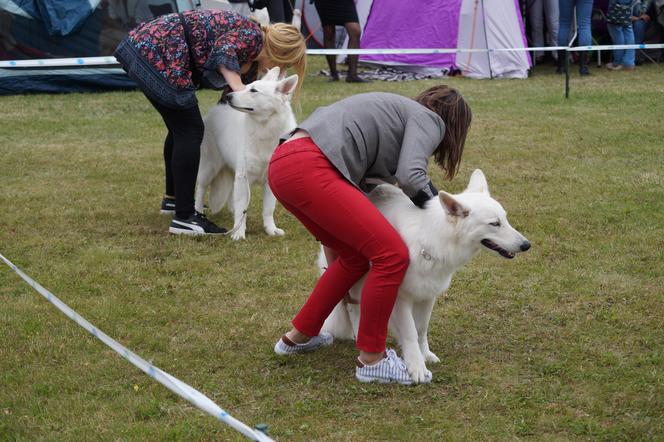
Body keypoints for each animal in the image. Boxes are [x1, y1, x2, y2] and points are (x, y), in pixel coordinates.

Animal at [195, 66, 298, 240]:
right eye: (246, 86)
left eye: (253, 90)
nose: (228, 96)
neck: (264, 130)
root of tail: (215, 110)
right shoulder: (243, 178)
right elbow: (242, 207)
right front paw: (238, 232)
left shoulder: (266, 181)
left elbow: (268, 209)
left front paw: (270, 230)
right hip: (209, 169)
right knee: (200, 190)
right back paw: (198, 213)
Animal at [320, 169, 532, 384]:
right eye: (494, 224)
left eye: (505, 219)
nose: (526, 245)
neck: (431, 241)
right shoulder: (401, 298)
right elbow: (410, 332)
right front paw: (416, 366)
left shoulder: (428, 296)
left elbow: (421, 329)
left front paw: (425, 355)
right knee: (353, 307)